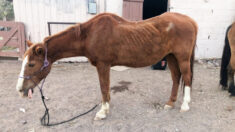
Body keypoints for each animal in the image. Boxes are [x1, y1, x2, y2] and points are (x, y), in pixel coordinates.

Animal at [15, 12, 197, 120]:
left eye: (31, 63)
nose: (20, 90)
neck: (89, 35)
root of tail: (190, 20)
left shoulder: (103, 65)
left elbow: (103, 87)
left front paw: (103, 111)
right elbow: (106, 88)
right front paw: (107, 106)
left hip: (182, 58)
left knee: (187, 78)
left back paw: (185, 105)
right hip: (171, 57)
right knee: (176, 78)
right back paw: (170, 103)